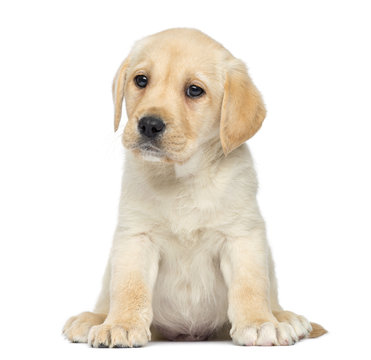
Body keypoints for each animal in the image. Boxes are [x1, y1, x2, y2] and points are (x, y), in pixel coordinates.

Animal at [62, 27, 326, 346]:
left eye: (194, 90)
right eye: (141, 80)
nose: (149, 125)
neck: (183, 178)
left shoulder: (242, 236)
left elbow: (250, 286)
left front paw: (259, 322)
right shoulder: (136, 236)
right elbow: (129, 287)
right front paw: (121, 324)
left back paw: (284, 317)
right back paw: (93, 319)